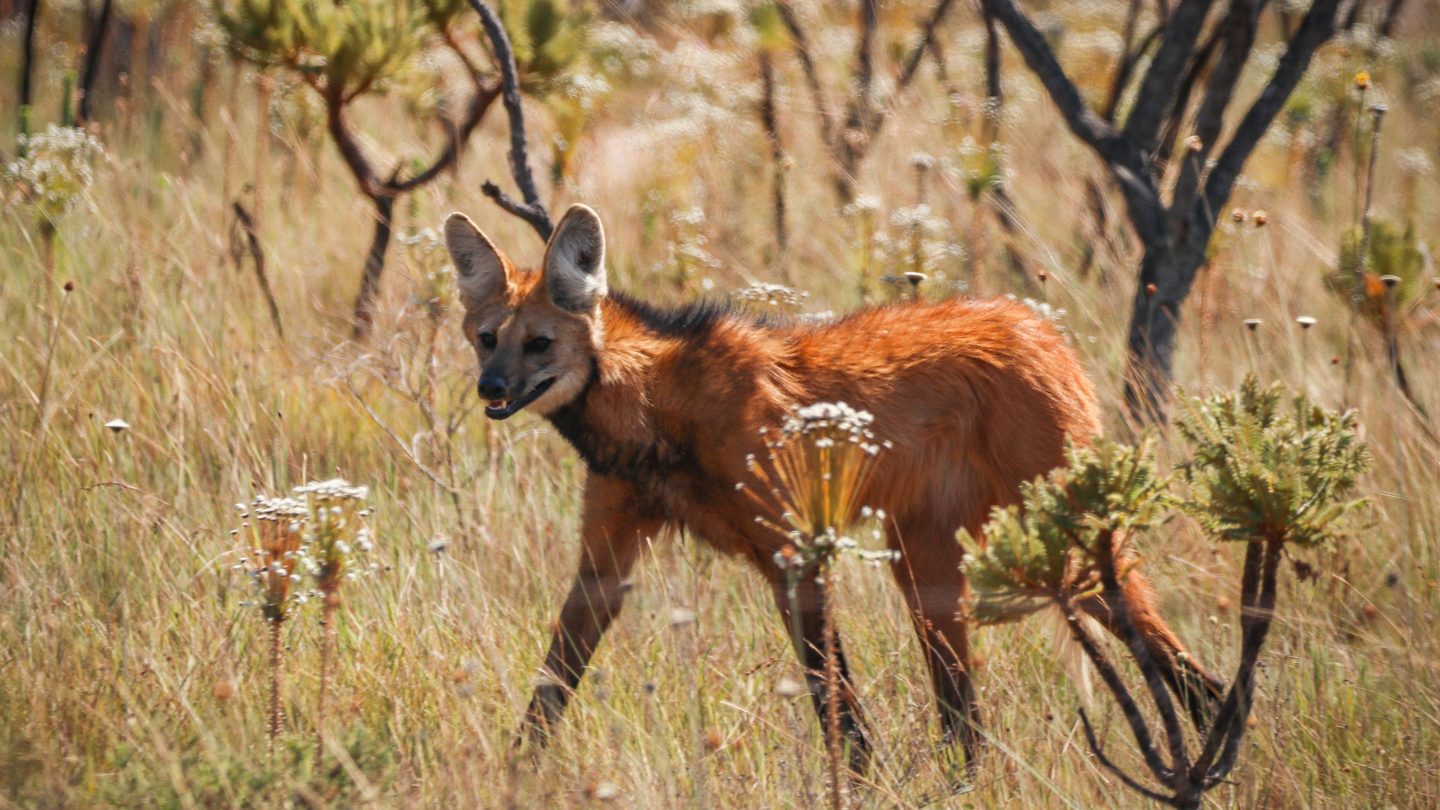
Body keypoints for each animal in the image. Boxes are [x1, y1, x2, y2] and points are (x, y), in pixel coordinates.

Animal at [445, 203, 1222, 770]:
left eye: (539, 344)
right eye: (486, 339)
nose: (491, 389)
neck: (654, 414)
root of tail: (1039, 326)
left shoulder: (795, 552)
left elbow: (831, 692)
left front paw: (859, 777)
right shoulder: (606, 558)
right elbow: (553, 680)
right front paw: (517, 774)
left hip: (1065, 545)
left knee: (1179, 664)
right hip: (930, 567)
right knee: (965, 710)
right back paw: (965, 778)